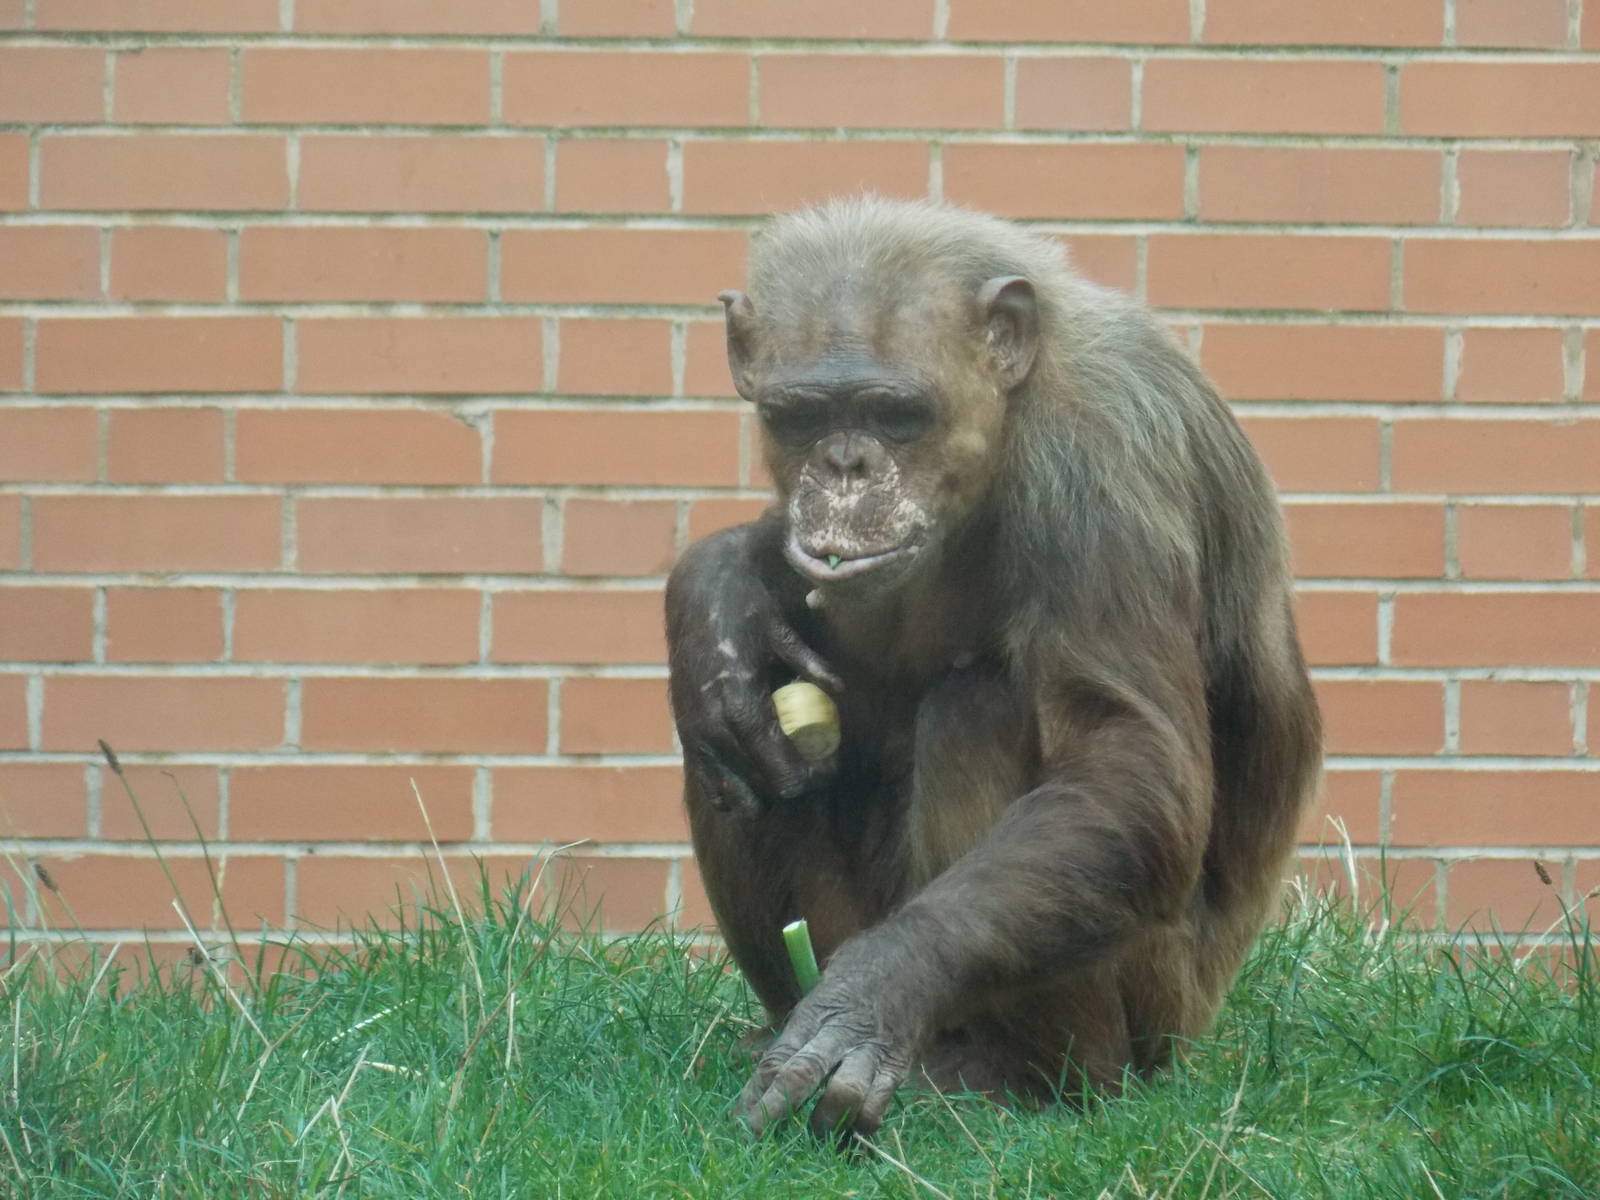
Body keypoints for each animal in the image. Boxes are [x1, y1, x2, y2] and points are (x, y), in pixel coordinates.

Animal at [664, 197, 1322, 1138]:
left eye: (895, 413)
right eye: (800, 418)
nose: (845, 465)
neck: (1012, 413)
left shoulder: (1104, 472)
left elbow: (1128, 761)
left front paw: (879, 986)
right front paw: (720, 607)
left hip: (1160, 1010)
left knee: (980, 710)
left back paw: (1023, 1077)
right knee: (732, 744)